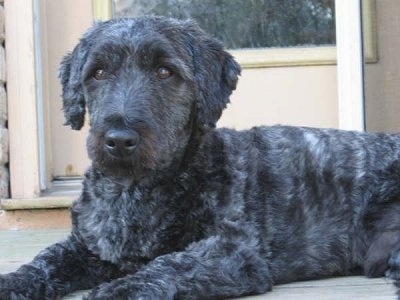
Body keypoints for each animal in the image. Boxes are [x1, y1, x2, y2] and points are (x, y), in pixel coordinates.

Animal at [0, 17, 400, 300]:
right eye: (98, 72)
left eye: (165, 71)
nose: (119, 140)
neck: (134, 194)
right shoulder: (88, 247)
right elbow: (45, 260)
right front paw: (13, 281)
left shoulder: (234, 251)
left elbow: (172, 263)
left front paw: (121, 289)